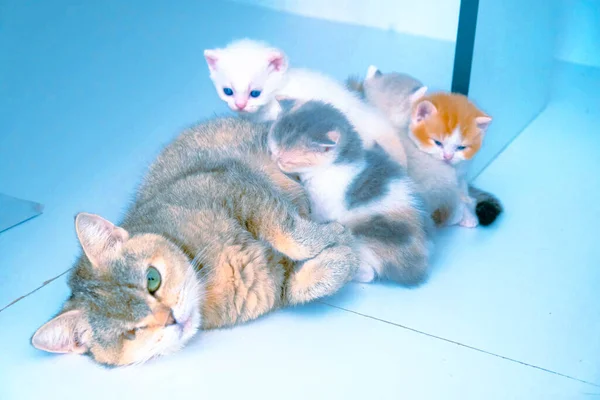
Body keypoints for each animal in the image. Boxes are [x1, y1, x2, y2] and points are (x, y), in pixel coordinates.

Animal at [30, 117, 358, 368]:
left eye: (152, 279)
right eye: (132, 332)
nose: (171, 319)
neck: (208, 280)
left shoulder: (235, 187)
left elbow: (288, 233)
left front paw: (333, 236)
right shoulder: (273, 286)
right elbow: (303, 286)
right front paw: (341, 257)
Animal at [268, 100, 432, 284]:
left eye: (287, 160)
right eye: (273, 150)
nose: (274, 159)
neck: (335, 165)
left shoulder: (323, 207)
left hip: (367, 233)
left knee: (369, 272)